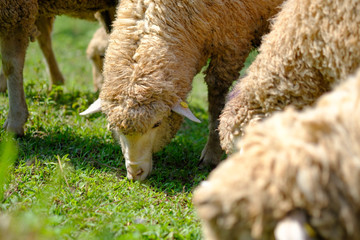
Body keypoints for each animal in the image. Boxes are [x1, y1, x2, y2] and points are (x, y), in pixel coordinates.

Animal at [80, 0, 286, 180]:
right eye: (114, 128)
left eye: (157, 123)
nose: (135, 174)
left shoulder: (232, 44)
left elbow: (217, 103)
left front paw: (211, 155)